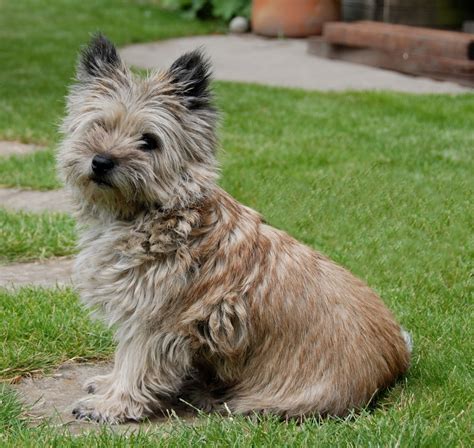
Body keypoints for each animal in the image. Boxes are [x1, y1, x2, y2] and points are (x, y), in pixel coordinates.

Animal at [56, 34, 412, 424]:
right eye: (99, 126)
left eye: (149, 141)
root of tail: (394, 361)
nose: (101, 161)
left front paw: (113, 405)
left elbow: (136, 363)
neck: (161, 212)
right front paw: (107, 385)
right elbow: (124, 357)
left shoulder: (155, 319)